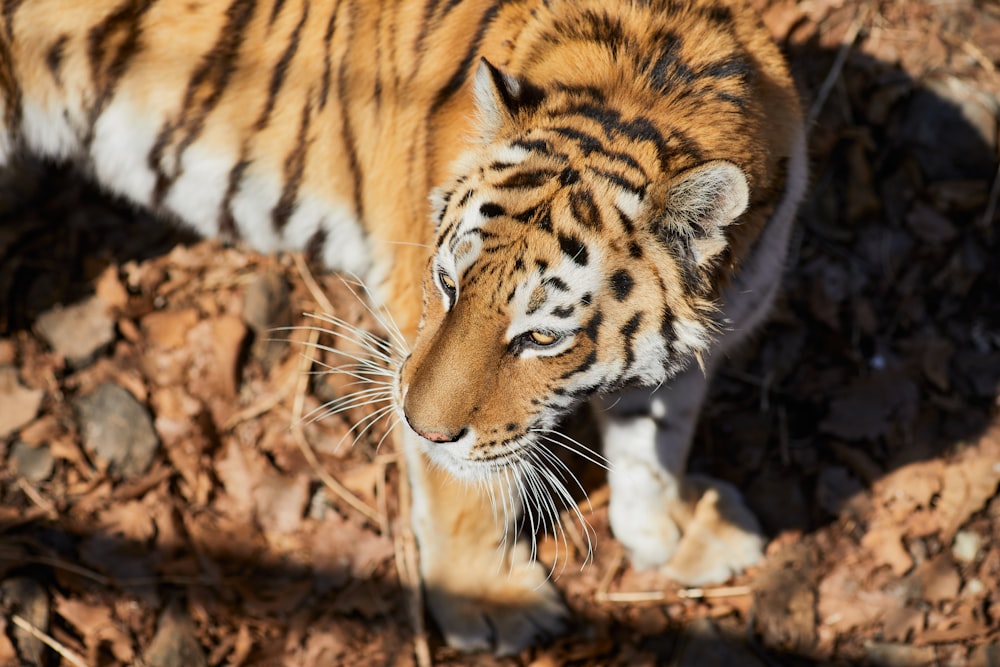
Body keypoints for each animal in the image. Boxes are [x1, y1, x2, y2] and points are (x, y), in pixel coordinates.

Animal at [0, 0, 808, 656]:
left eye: (543, 337)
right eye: (448, 285)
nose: (420, 426)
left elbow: (657, 440)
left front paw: (673, 530)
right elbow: (465, 487)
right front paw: (492, 603)